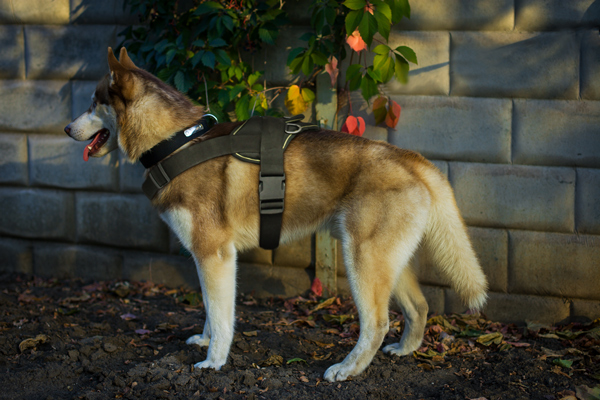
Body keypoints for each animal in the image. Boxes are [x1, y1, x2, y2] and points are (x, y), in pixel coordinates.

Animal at [65, 47, 488, 382]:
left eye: (93, 102)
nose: (67, 128)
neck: (175, 143)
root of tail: (410, 157)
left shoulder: (214, 254)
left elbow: (222, 316)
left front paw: (214, 361)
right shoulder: (207, 258)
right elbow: (210, 309)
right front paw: (204, 340)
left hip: (362, 260)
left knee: (377, 322)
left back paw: (347, 369)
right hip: (385, 260)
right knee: (419, 306)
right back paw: (405, 350)